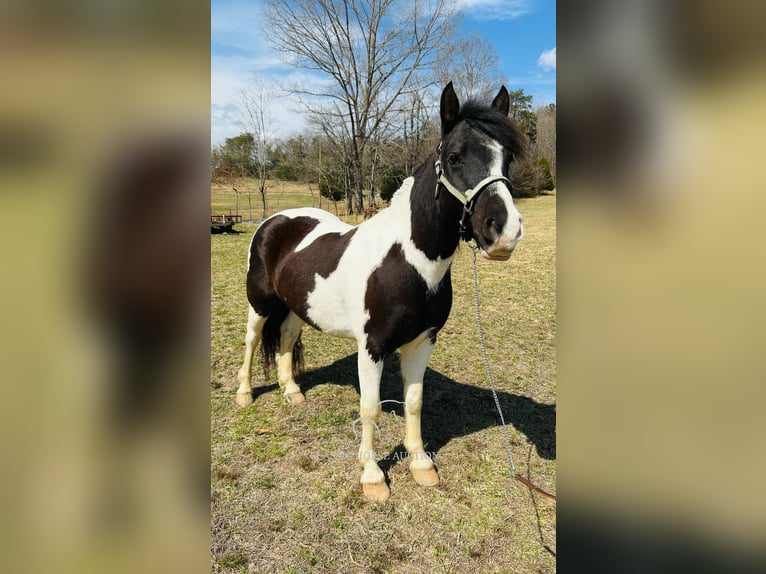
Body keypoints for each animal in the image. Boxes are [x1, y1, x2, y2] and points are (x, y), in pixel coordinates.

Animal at [240, 82, 528, 504]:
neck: (406, 262)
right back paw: (244, 394)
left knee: (287, 339)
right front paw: (373, 477)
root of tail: (274, 220)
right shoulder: (372, 347)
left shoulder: (423, 340)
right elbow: (371, 407)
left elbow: (414, 402)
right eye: (454, 157)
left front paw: (421, 465)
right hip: (260, 304)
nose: (504, 231)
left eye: (506, 158)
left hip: (296, 307)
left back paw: (292, 392)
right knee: (251, 340)